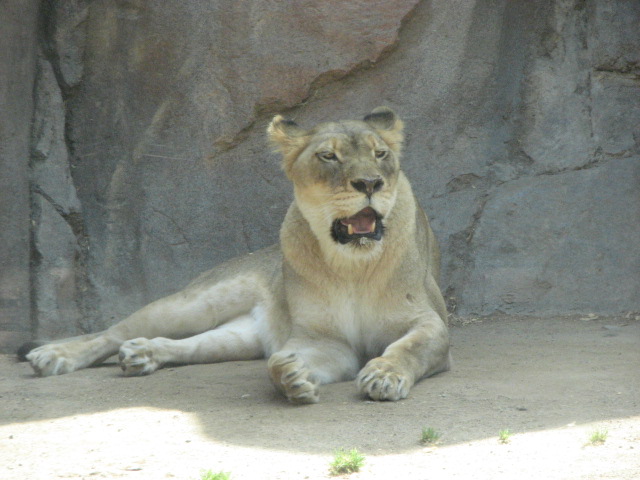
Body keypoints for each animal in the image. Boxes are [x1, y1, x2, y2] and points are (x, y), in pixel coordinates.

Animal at [21, 107, 450, 403]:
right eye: (329, 156)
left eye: (380, 154)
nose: (370, 183)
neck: (353, 265)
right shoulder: (324, 339)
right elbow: (283, 361)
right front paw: (291, 376)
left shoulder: (429, 322)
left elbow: (408, 348)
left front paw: (383, 376)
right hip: (196, 302)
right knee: (112, 333)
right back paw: (54, 354)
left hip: (236, 337)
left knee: (187, 345)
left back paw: (143, 354)